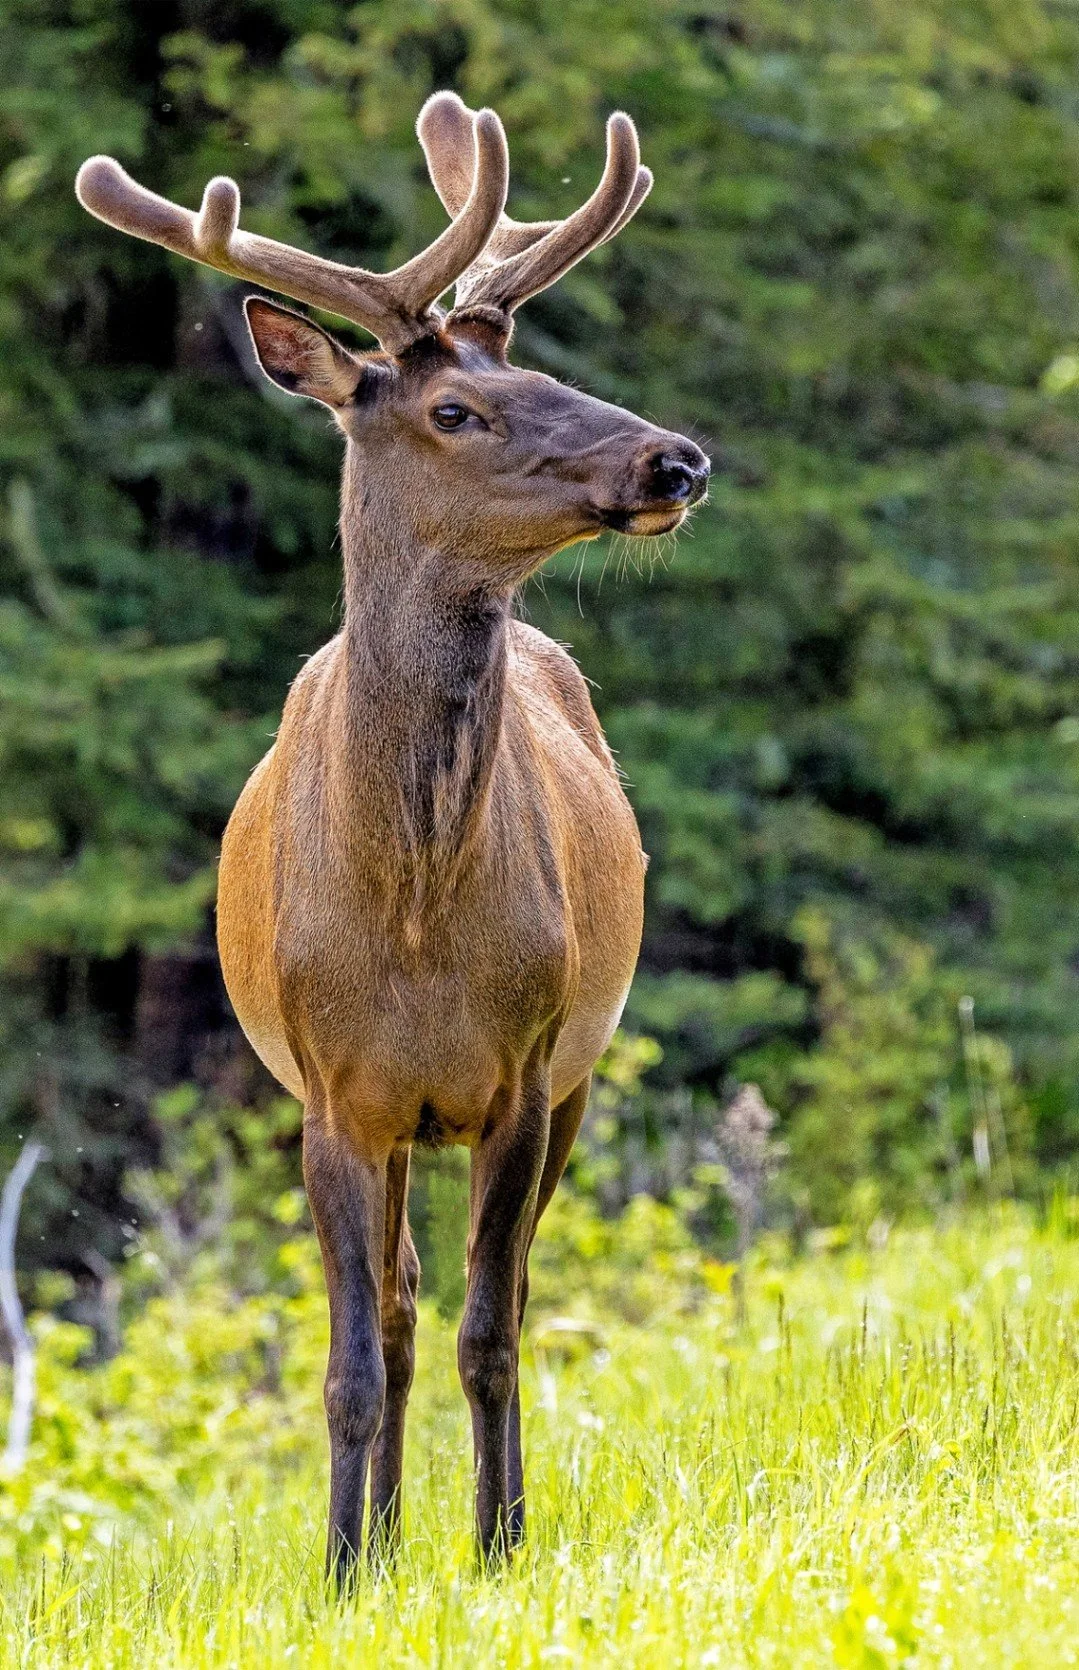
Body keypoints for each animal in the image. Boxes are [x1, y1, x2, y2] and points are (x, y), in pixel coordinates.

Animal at [75, 91, 708, 1581]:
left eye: (542, 371)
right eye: (454, 407)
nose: (673, 458)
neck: (412, 906)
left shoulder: (526, 1070)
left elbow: (494, 1327)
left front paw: (496, 1546)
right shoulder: (330, 1092)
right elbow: (354, 1359)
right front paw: (343, 1567)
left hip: (567, 1074)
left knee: (489, 1298)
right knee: (402, 1306)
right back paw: (381, 1532)